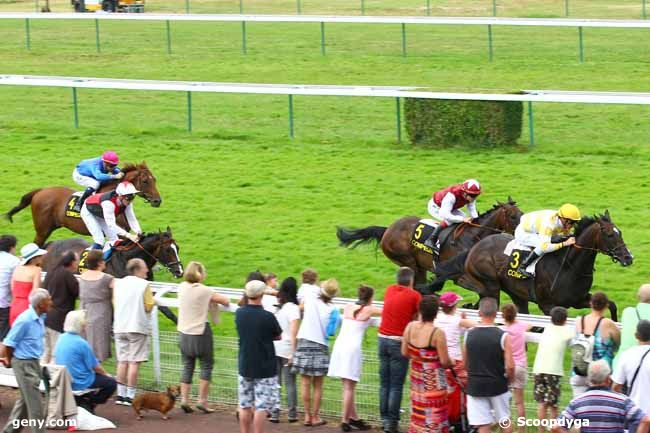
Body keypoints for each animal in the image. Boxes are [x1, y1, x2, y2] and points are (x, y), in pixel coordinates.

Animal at [3, 161, 161, 246]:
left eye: (155, 179)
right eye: (145, 181)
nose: (158, 201)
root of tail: (40, 191)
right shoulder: (119, 233)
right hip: (43, 230)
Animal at [43, 228, 181, 322]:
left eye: (178, 248)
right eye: (168, 250)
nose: (179, 271)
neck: (127, 260)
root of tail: (51, 244)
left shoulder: (150, 288)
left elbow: (166, 310)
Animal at [334, 198, 520, 290]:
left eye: (521, 213)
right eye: (512, 216)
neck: (473, 236)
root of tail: (388, 230)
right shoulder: (458, 275)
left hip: (419, 266)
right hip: (408, 261)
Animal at [442, 211, 632, 318]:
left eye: (620, 232)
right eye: (609, 235)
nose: (628, 258)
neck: (569, 266)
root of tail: (475, 246)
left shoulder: (579, 299)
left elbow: (611, 305)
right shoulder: (548, 305)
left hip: (515, 292)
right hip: (491, 285)